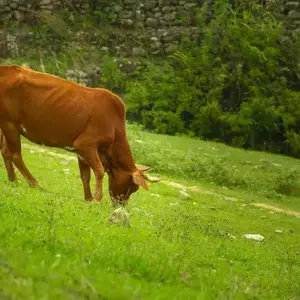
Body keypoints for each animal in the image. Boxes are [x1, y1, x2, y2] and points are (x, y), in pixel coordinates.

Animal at [0, 64, 159, 203]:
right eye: (133, 187)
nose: (120, 205)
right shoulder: (85, 144)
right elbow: (99, 171)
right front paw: (97, 199)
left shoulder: (81, 151)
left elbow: (85, 175)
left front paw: (88, 198)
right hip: (10, 124)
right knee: (15, 155)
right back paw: (34, 183)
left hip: (6, 126)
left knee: (5, 152)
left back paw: (13, 180)